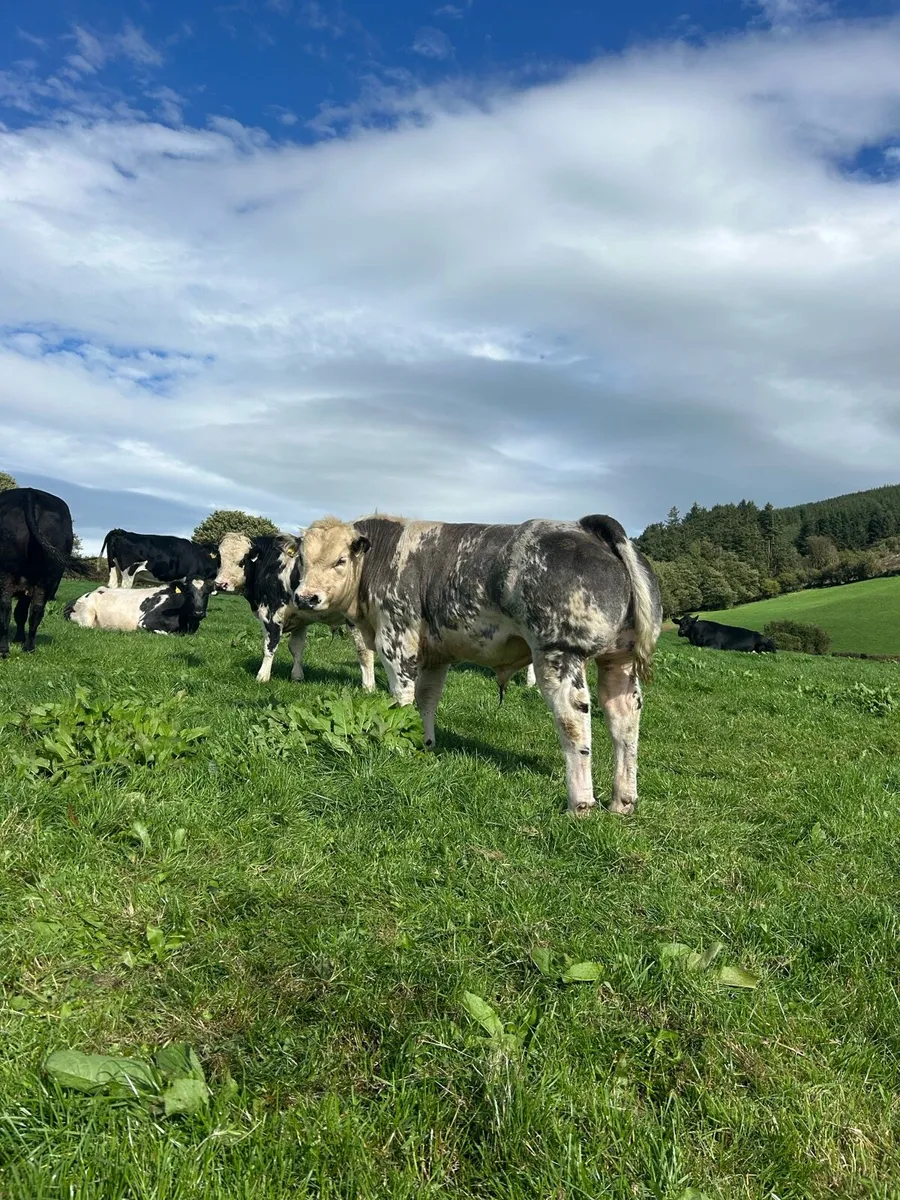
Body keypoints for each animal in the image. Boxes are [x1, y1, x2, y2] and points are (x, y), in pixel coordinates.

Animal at [1, 487, 75, 658]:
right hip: (47, 579)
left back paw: (4, 649)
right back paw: (28, 647)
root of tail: (30, 492)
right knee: (36, 610)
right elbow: (21, 613)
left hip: (5, 572)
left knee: (5, 608)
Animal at [64, 578, 214, 635]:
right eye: (188, 593)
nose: (198, 613)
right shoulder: (145, 622)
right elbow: (168, 634)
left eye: (207, 593)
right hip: (87, 615)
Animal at [215, 531, 376, 687]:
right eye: (220, 559)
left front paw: (262, 677)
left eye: (242, 560)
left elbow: (270, 645)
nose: (220, 584)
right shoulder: (300, 618)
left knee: (364, 650)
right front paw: (297, 676)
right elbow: (296, 647)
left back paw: (368, 687)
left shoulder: (271, 612)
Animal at [292, 513, 662, 817]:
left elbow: (402, 698)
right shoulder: (435, 654)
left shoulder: (396, 640)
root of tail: (586, 527)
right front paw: (424, 744)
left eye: (340, 560)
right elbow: (427, 700)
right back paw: (622, 801)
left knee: (573, 722)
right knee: (624, 720)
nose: (306, 597)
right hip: (619, 660)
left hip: (559, 653)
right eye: (303, 561)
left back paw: (580, 805)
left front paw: (399, 741)